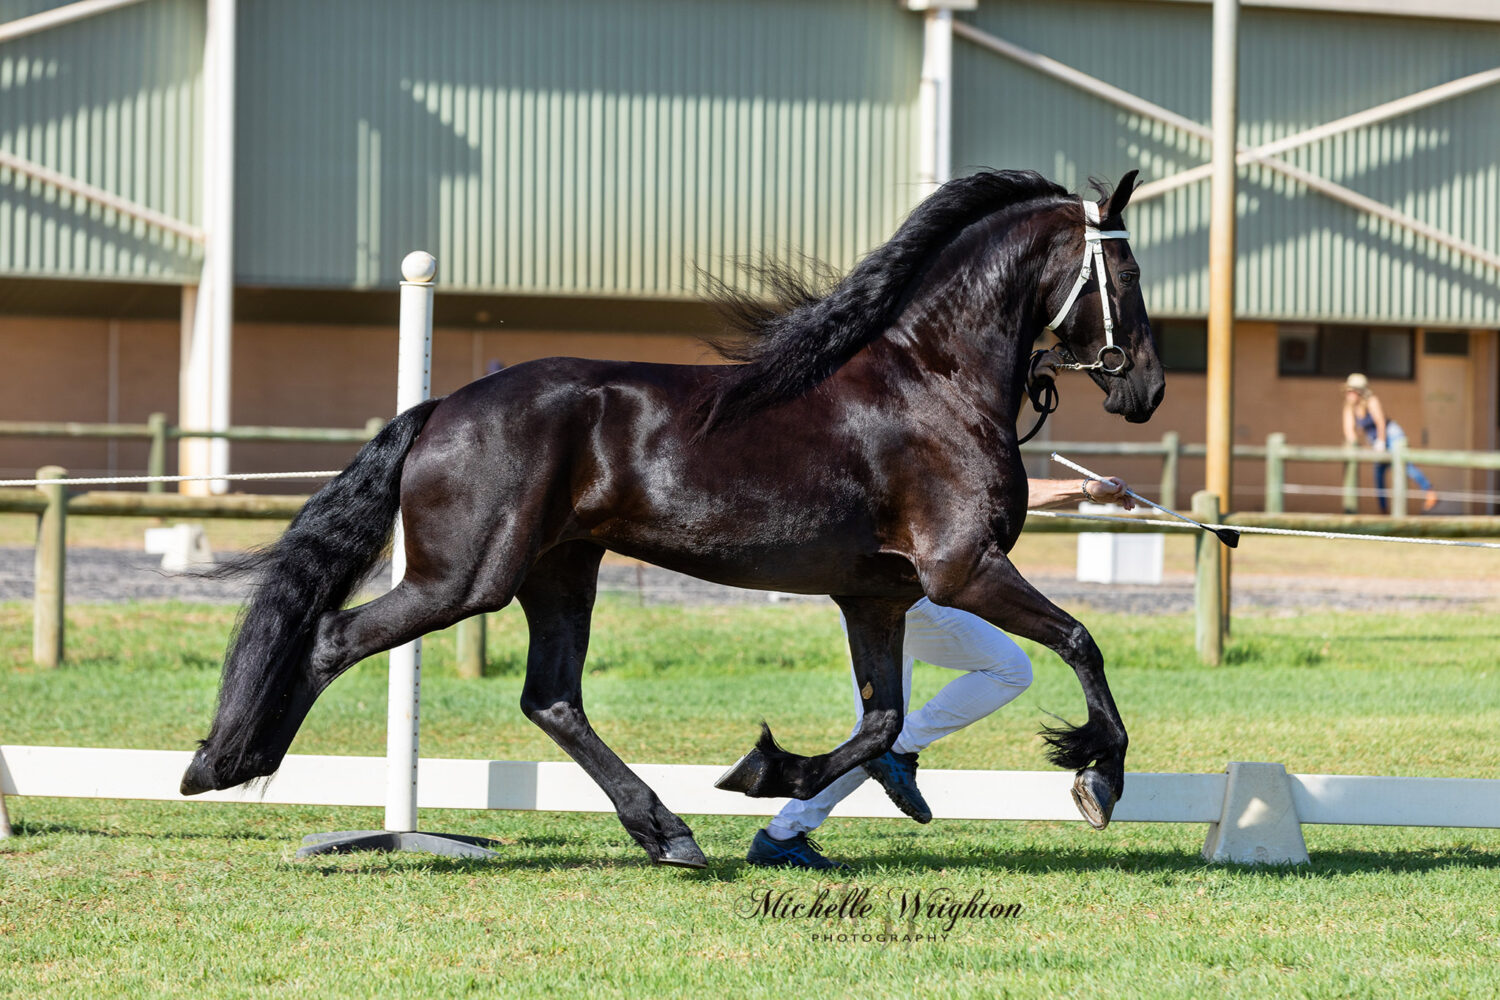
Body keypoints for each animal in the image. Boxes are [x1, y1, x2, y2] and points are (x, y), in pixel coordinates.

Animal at [175, 167, 1158, 863]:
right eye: (1130, 270)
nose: (1143, 390)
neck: (932, 382)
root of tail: (443, 407)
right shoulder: (962, 571)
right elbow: (1081, 643)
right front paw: (1099, 778)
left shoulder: (877, 598)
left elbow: (880, 723)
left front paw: (769, 772)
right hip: (465, 579)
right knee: (335, 637)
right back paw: (236, 763)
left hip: (559, 572)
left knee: (551, 699)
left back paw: (668, 833)